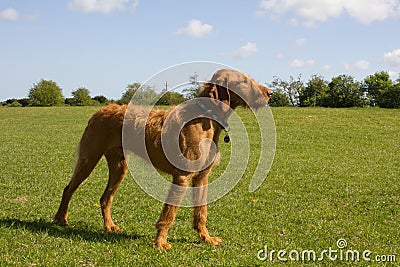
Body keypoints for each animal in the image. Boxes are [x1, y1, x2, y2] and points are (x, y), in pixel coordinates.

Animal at [54, 69, 272, 251]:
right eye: (243, 81)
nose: (269, 93)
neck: (206, 117)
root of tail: (100, 110)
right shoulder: (182, 176)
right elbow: (169, 214)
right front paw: (160, 242)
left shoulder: (201, 177)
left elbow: (201, 213)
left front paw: (206, 238)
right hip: (88, 159)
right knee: (68, 189)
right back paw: (60, 218)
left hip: (119, 166)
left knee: (105, 198)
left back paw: (109, 226)